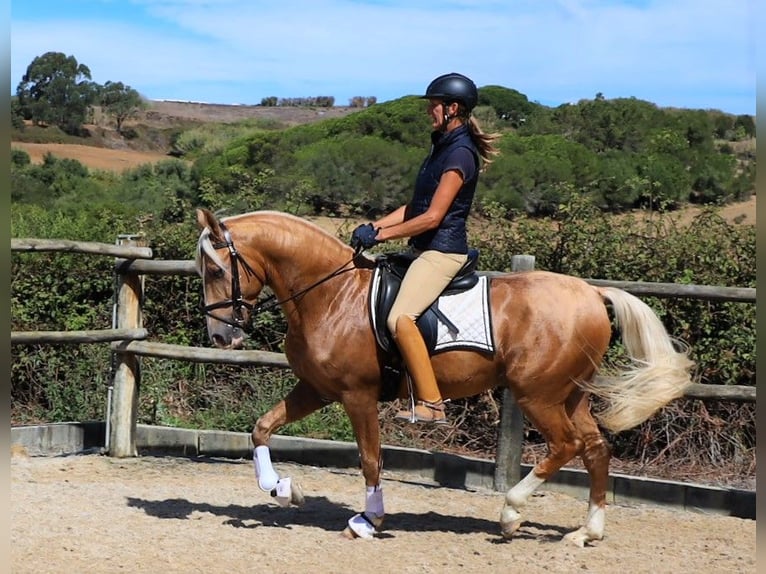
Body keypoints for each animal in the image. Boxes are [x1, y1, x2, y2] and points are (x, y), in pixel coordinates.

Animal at [196, 209, 696, 548]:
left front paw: (368, 521)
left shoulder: (357, 396)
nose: (221, 336)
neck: (332, 294)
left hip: (537, 394)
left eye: (217, 269)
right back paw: (586, 532)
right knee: (595, 448)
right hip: (570, 394)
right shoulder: (318, 389)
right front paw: (282, 489)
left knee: (565, 445)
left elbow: (370, 460)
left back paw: (511, 512)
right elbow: (262, 427)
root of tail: (592, 292)